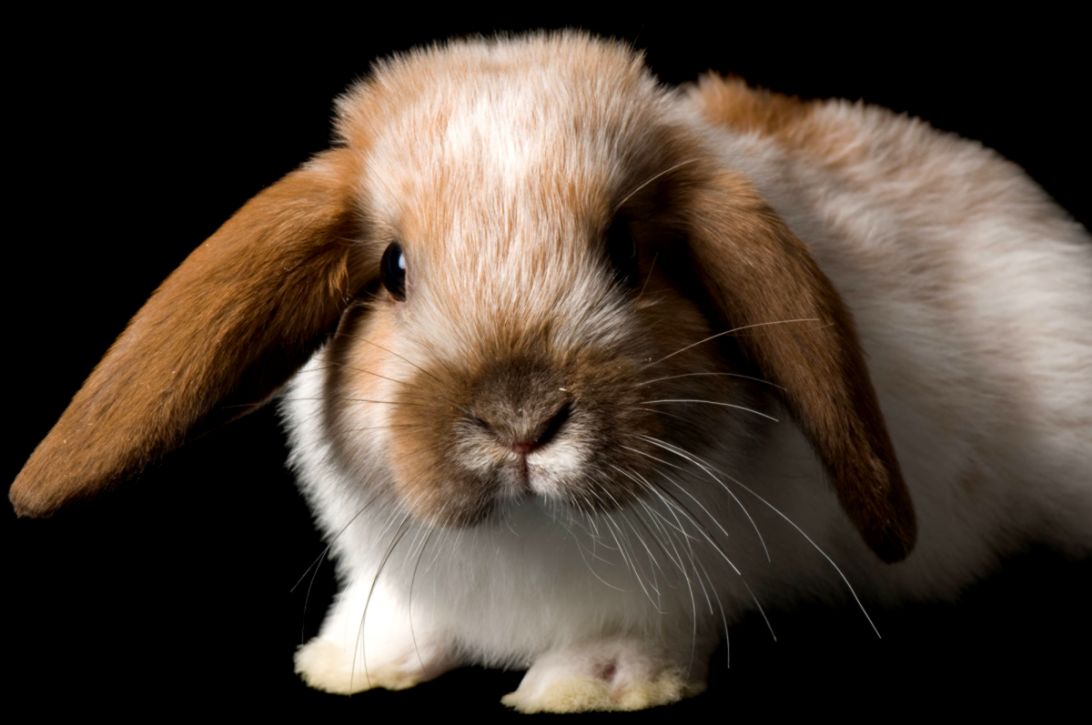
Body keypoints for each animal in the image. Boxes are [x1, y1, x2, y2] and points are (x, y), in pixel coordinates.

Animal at [9, 31, 1092, 713]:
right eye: (393, 269)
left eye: (628, 252)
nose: (519, 418)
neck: (523, 544)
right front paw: (351, 663)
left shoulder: (674, 591)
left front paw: (583, 687)